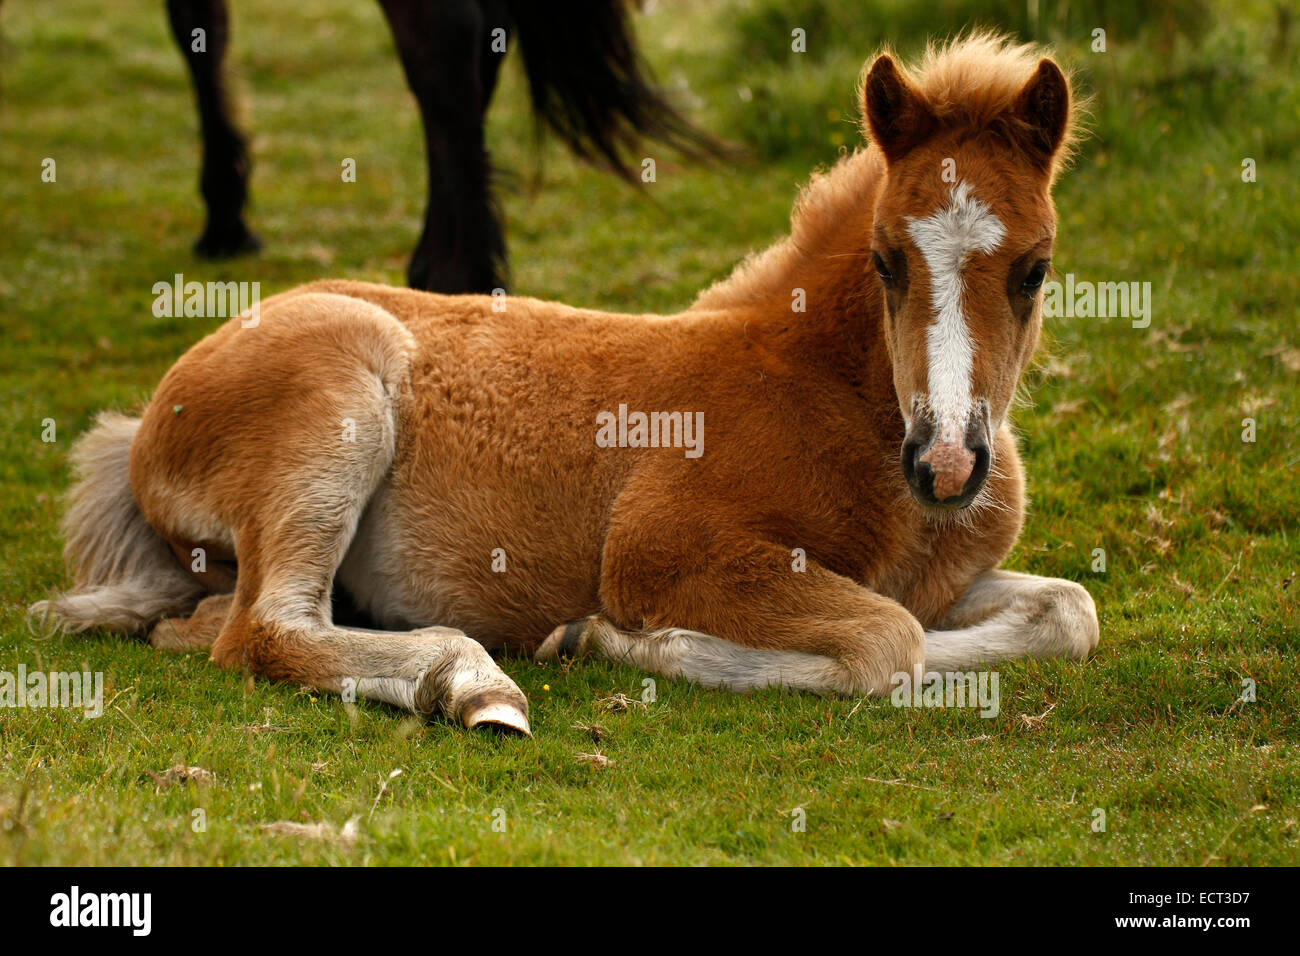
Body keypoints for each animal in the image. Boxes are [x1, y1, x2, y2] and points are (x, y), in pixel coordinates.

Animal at [32, 33, 1099, 736]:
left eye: (1035, 269)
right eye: (886, 262)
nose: (949, 464)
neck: (829, 391)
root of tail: (144, 426)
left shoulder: (947, 576)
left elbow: (1063, 613)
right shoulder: (666, 550)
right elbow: (887, 642)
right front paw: (608, 639)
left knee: (208, 624)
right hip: (336, 406)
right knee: (263, 629)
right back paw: (468, 682)